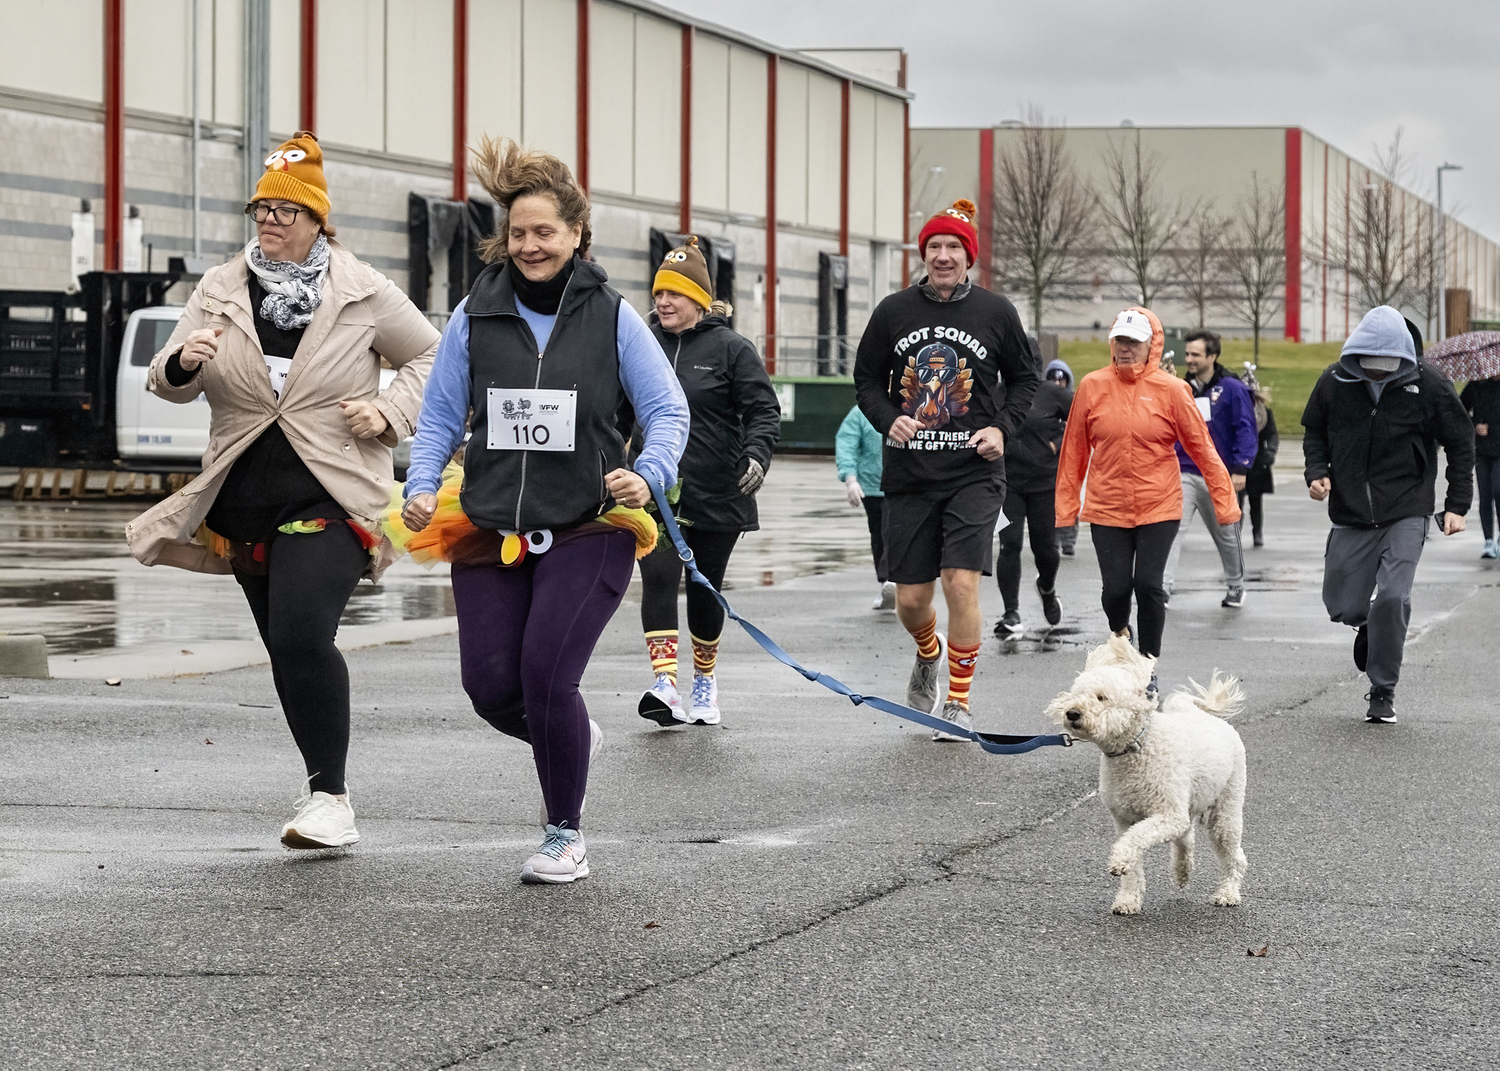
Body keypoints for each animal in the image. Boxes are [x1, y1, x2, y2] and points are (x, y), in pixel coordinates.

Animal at [1050, 630, 1248, 912]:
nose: (1072, 713)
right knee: (1186, 836)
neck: (1136, 747)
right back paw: (1181, 872)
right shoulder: (1125, 819)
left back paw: (1228, 893)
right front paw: (1127, 899)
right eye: (1077, 694)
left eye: (1101, 697)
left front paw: (1119, 861)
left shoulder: (1166, 815)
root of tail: (1209, 718)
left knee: (1233, 854)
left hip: (1225, 809)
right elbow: (1133, 860)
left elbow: (1135, 840)